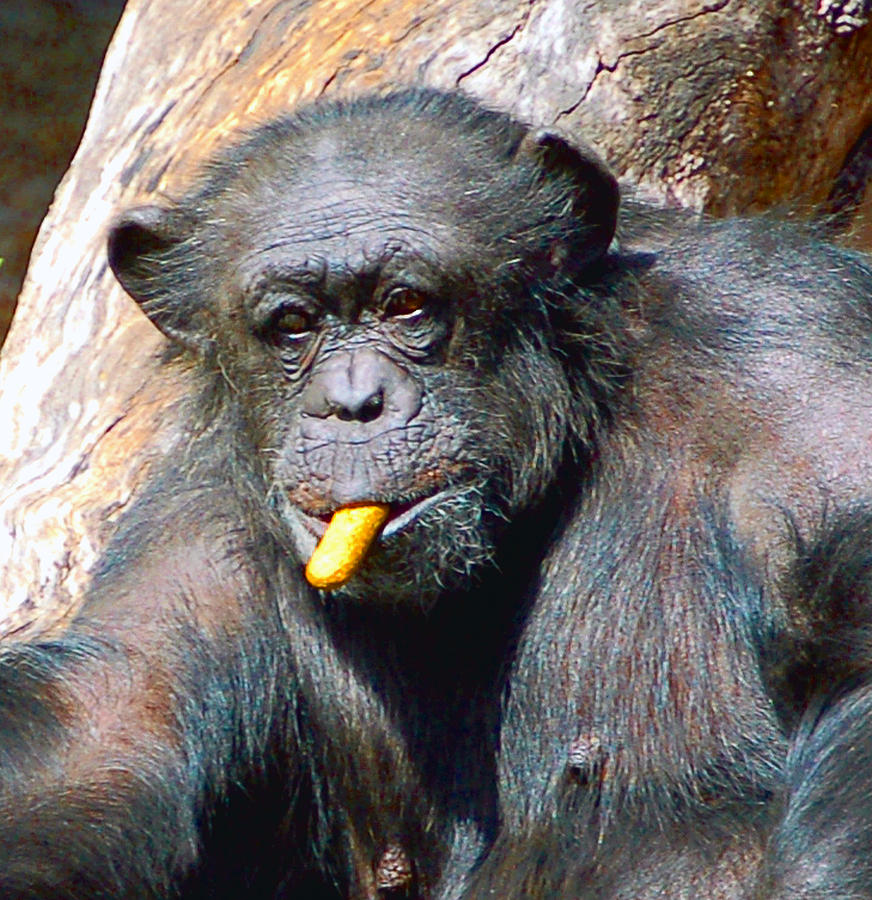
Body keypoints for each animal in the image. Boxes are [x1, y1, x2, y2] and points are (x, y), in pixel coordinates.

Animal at [1, 86, 872, 900]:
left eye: (405, 304)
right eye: (293, 324)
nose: (353, 402)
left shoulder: (786, 349)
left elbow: (855, 646)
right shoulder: (198, 509)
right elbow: (107, 723)